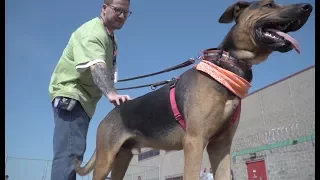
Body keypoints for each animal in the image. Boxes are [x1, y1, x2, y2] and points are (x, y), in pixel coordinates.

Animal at [74, 0, 312, 179]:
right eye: (269, 4)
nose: (307, 7)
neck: (226, 67)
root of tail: (108, 116)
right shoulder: (195, 141)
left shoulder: (221, 146)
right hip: (106, 160)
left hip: (122, 158)